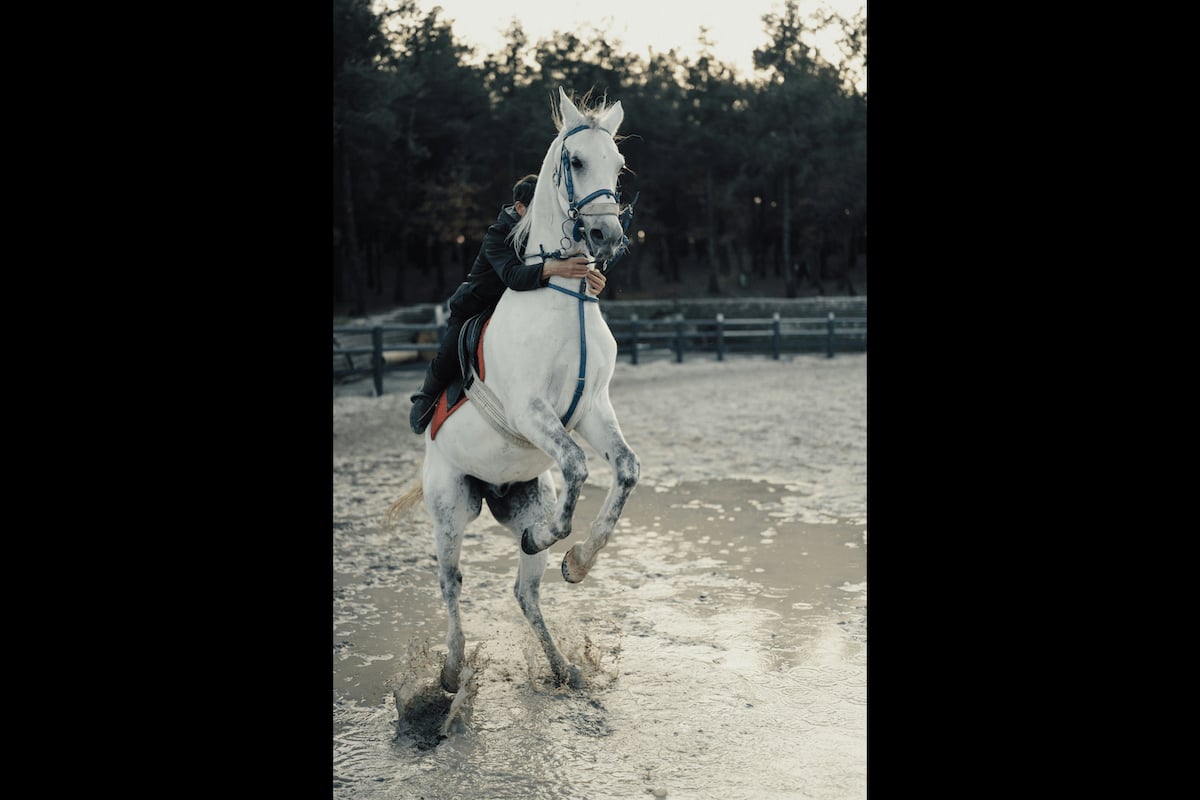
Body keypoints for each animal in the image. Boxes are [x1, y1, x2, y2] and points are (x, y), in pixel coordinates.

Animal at [388, 88, 640, 693]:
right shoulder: (531, 411)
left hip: (523, 498)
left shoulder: (593, 409)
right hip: (449, 509)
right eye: (576, 162)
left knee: (524, 592)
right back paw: (450, 674)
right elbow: (577, 466)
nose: (608, 237)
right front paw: (556, 539)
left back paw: (561, 665)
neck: (565, 296)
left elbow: (624, 469)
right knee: (451, 583)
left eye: (618, 166)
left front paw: (578, 561)